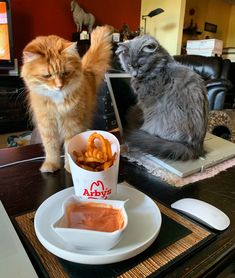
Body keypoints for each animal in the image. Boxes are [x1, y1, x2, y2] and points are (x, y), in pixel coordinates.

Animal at [20, 26, 112, 174]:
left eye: (65, 73)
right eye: (47, 76)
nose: (59, 86)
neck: (56, 101)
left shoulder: (72, 124)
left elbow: (69, 147)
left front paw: (71, 167)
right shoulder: (47, 126)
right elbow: (51, 149)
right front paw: (51, 165)